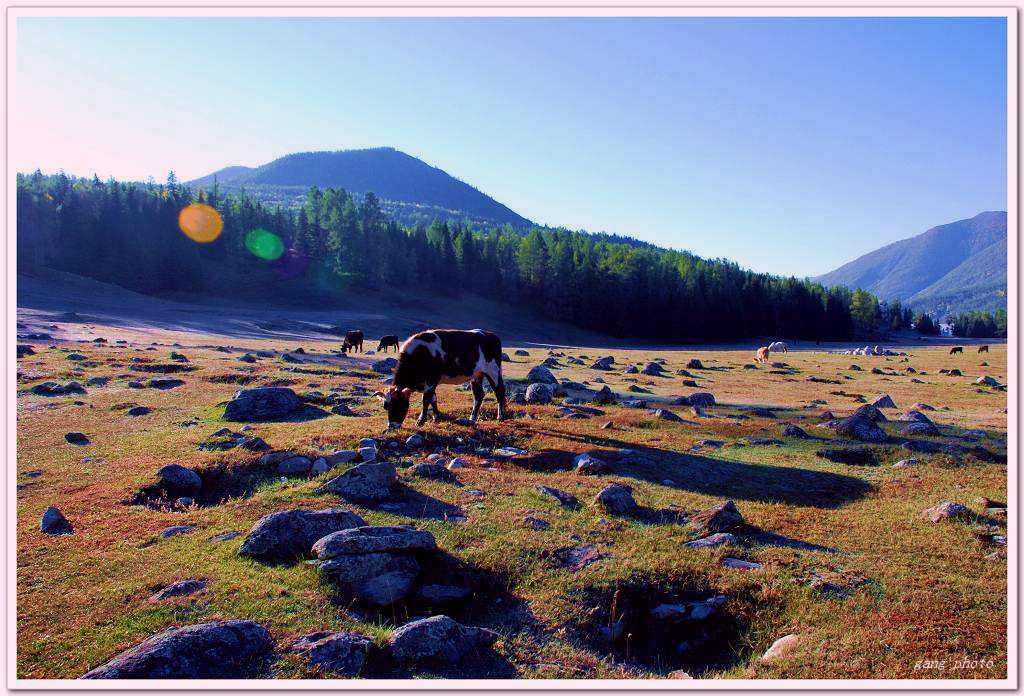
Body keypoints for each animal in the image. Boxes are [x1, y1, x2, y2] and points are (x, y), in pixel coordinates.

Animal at [374, 327, 505, 429]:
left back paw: (501, 417)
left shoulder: (431, 380)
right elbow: (433, 399)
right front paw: (436, 418)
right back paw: (472, 419)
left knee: (499, 392)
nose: (392, 426)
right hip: (476, 375)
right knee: (479, 395)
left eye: (399, 405)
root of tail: (491, 335)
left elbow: (426, 399)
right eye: (386, 406)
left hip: (493, 370)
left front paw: (421, 421)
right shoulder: (431, 382)